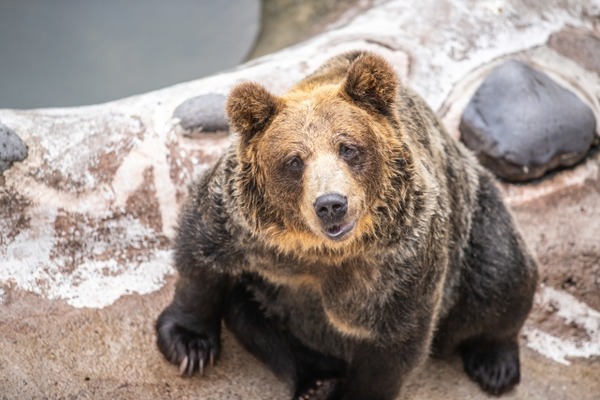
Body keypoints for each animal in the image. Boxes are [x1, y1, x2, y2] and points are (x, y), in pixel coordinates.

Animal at [155, 50, 540, 400]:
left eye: (348, 148)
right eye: (294, 160)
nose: (331, 204)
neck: (317, 248)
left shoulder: (398, 258)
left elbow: (392, 341)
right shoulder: (244, 226)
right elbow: (201, 257)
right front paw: (189, 344)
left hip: (474, 215)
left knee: (500, 274)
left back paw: (495, 364)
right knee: (254, 316)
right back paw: (315, 381)